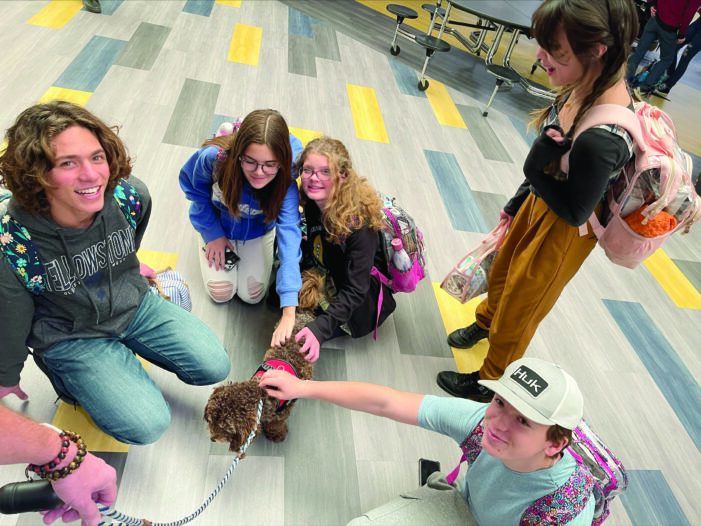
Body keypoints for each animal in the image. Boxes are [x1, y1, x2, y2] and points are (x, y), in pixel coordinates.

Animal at [202, 270, 322, 456]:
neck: (260, 394)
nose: (212, 438)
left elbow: (276, 424)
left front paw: (277, 434)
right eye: (211, 419)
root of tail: (304, 312)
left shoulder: (281, 413)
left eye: (225, 429)